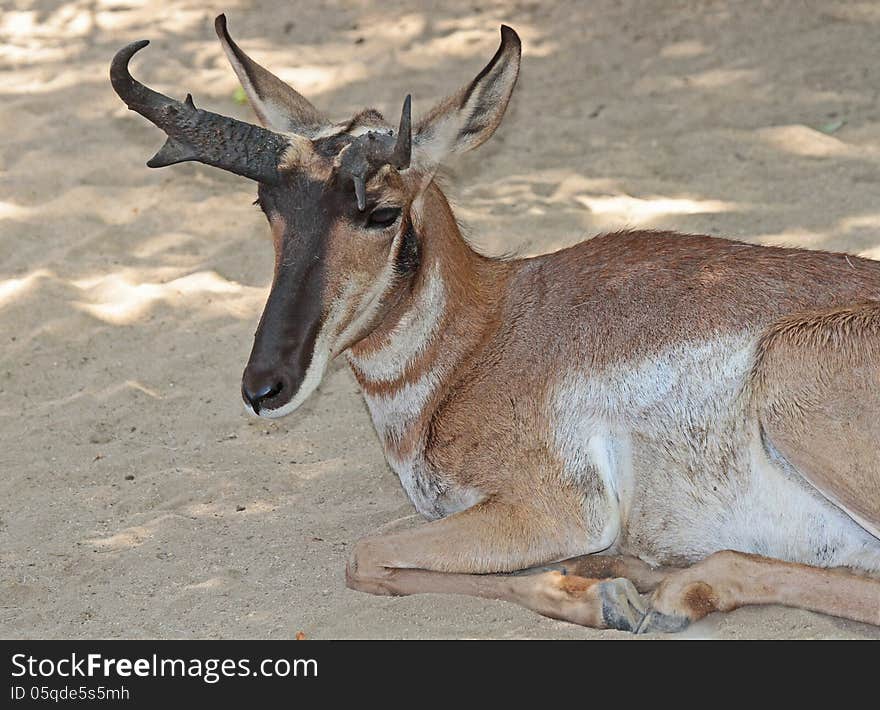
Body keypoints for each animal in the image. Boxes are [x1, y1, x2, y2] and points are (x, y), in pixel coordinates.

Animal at [111, 15, 880, 636]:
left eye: (382, 211)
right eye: (266, 205)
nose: (264, 386)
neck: (482, 335)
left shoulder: (556, 510)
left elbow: (365, 555)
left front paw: (606, 598)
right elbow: (376, 560)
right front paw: (608, 587)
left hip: (788, 374)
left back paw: (674, 590)